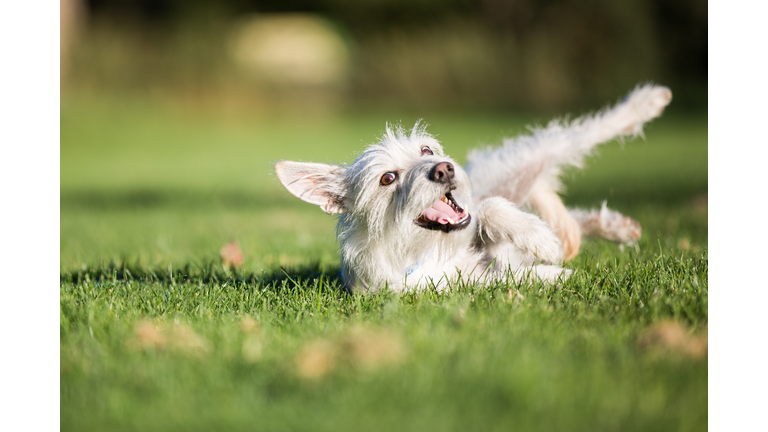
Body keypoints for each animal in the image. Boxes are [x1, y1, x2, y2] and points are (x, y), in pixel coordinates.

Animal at [276, 83, 672, 294]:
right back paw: (613, 227)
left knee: (588, 131)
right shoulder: (459, 285)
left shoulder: (475, 221)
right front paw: (554, 273)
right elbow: (510, 276)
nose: (443, 168)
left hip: (529, 157)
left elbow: (491, 209)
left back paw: (646, 102)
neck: (422, 249)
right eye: (387, 179)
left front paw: (540, 241)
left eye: (425, 150)